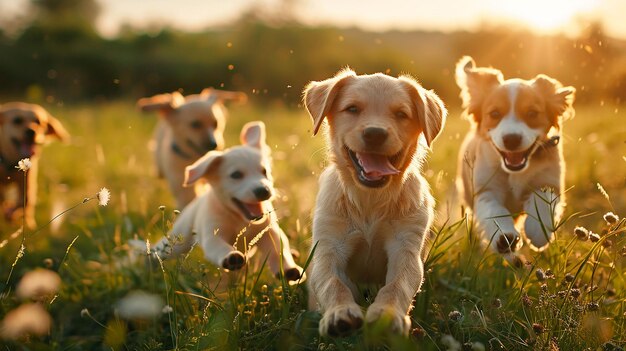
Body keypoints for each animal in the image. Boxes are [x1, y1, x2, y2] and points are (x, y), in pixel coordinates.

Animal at [129, 121, 302, 284]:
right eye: (236, 175)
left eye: (264, 171)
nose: (263, 191)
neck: (239, 219)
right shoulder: (212, 236)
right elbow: (220, 247)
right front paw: (231, 257)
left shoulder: (269, 232)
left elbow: (279, 251)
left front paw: (288, 269)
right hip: (178, 240)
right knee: (158, 251)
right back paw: (144, 262)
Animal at [302, 69, 444, 338]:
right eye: (352, 109)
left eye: (401, 114)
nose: (375, 133)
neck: (370, 200)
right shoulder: (329, 247)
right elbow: (333, 283)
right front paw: (340, 313)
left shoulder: (405, 247)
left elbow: (396, 286)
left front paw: (387, 316)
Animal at [454, 57, 576, 262]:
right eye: (494, 114)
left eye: (532, 113)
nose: (511, 139)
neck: (514, 172)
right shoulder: (486, 190)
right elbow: (495, 212)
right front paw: (505, 237)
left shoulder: (550, 181)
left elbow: (542, 199)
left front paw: (538, 232)